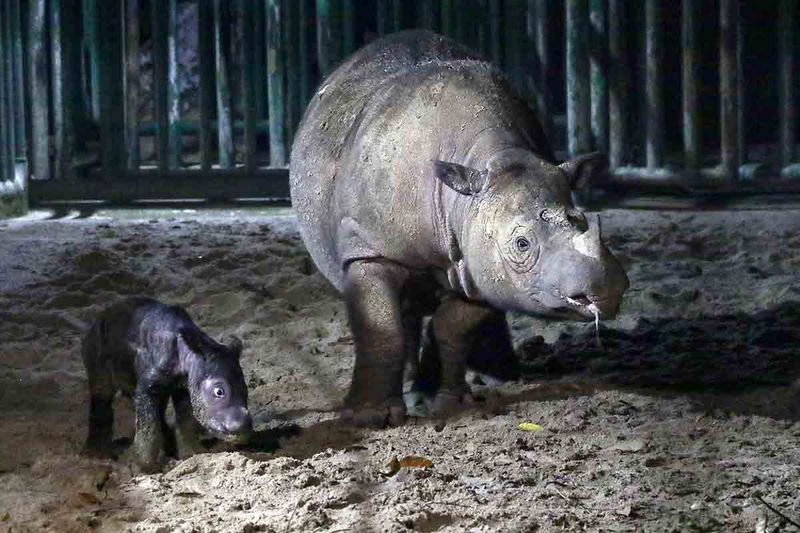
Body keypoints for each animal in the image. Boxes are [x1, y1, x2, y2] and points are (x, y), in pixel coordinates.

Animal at [83, 298, 252, 472]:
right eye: (219, 392)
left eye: (246, 389)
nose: (242, 430)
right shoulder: (150, 382)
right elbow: (148, 425)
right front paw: (146, 468)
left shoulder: (187, 385)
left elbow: (185, 419)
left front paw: (192, 455)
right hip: (95, 346)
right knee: (102, 393)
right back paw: (97, 454)